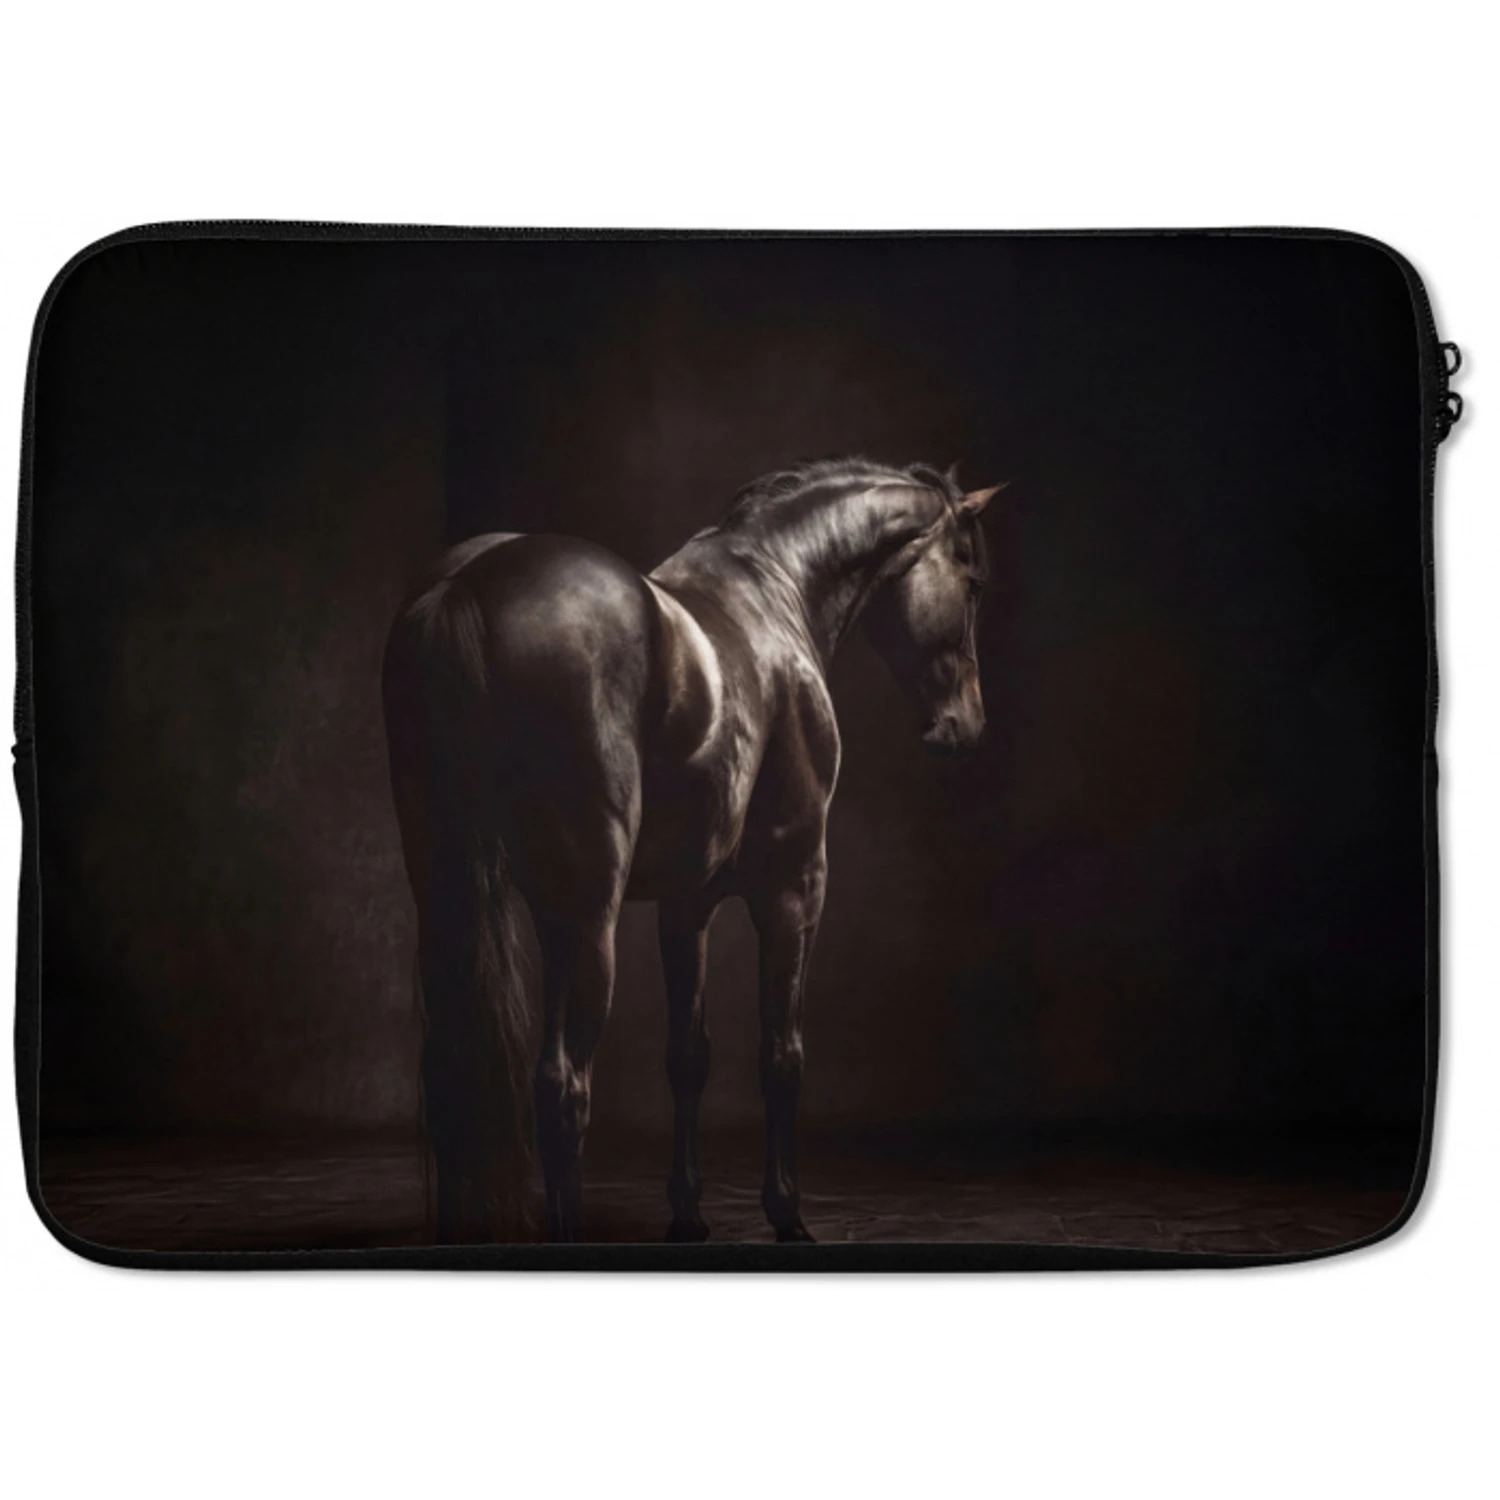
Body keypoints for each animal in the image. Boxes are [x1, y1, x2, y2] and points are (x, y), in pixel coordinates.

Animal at [382, 457, 1000, 1244]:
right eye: (972, 582)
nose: (966, 725)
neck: (773, 586)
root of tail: (468, 583)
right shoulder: (794, 886)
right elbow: (781, 1055)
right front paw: (786, 1214)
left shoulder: (687, 903)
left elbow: (688, 1058)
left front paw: (688, 1213)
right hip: (584, 920)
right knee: (563, 1087)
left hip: (450, 894)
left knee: (453, 1071)